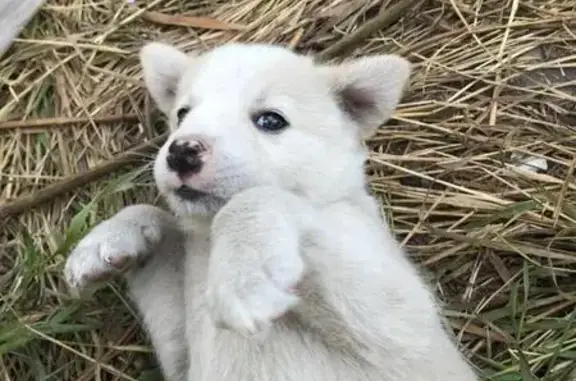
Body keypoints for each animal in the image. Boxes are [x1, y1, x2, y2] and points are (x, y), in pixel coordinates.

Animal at [64, 41, 476, 380]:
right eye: (182, 113)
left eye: (271, 120)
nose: (181, 151)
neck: (210, 240)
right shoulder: (184, 356)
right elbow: (158, 222)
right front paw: (107, 243)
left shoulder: (406, 328)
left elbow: (262, 199)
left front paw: (245, 276)